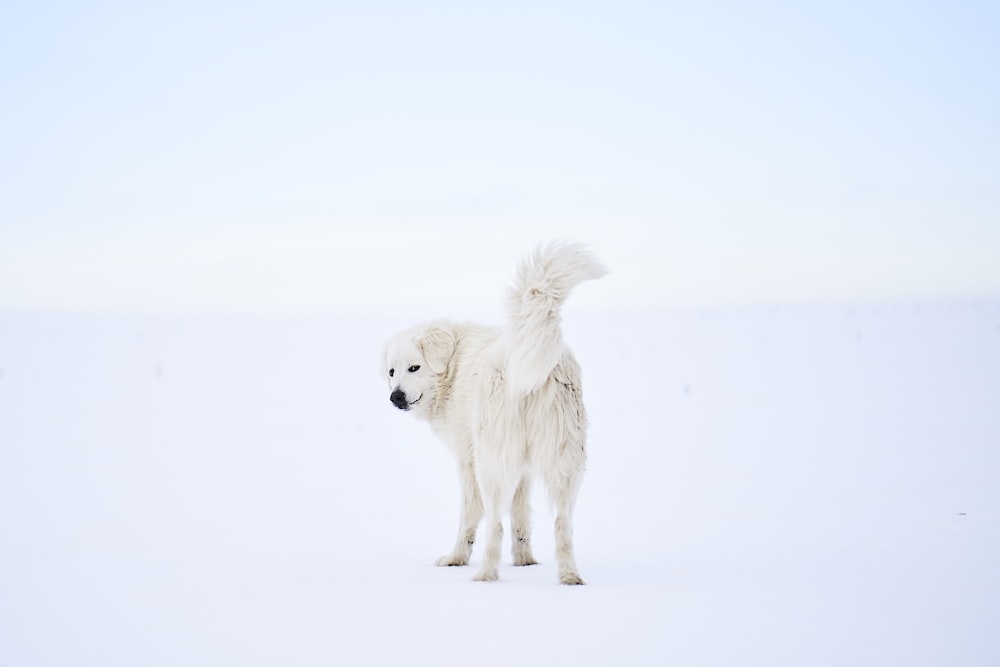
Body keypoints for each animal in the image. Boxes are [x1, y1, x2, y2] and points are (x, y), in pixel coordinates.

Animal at [380, 241, 600, 584]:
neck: (454, 366)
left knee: (495, 521)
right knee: (562, 524)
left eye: (414, 367)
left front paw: (456, 559)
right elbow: (521, 517)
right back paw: (569, 577)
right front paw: (525, 561)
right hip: (563, 457)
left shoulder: (467, 460)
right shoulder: (523, 467)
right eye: (391, 372)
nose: (395, 397)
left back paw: (485, 575)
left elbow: (471, 514)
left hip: (492, 459)